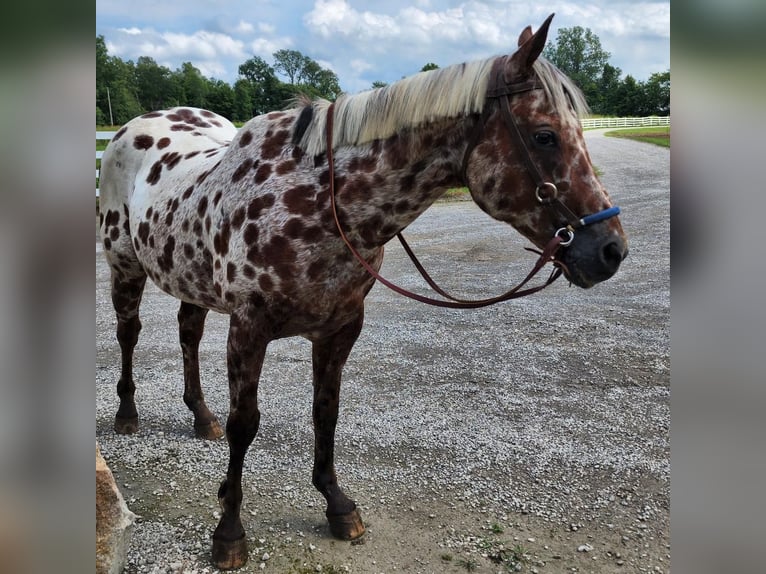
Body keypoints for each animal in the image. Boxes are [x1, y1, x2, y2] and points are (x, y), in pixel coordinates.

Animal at [99, 14, 632, 572]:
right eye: (545, 136)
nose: (611, 250)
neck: (318, 198)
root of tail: (131, 130)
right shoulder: (249, 328)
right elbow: (245, 423)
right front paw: (229, 531)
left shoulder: (340, 328)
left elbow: (326, 413)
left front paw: (337, 504)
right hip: (125, 267)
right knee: (129, 333)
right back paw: (127, 414)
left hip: (191, 280)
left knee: (187, 333)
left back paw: (201, 418)